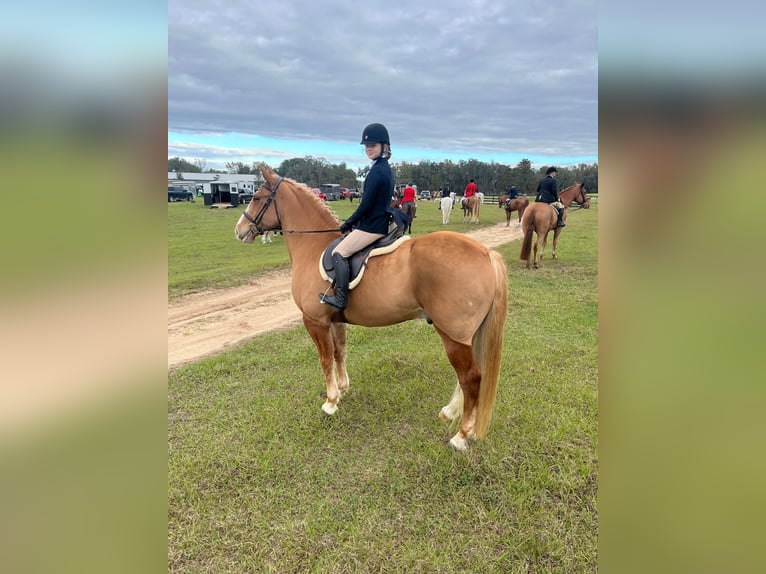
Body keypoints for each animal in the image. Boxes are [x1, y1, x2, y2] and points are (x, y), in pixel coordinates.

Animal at [236, 164, 510, 452]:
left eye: (256, 198)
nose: (239, 230)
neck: (313, 248)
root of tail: (486, 254)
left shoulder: (314, 321)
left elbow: (325, 359)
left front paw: (330, 402)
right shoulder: (335, 320)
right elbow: (339, 353)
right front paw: (343, 389)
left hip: (453, 336)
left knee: (471, 379)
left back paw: (461, 436)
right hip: (466, 336)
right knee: (467, 378)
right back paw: (449, 412)